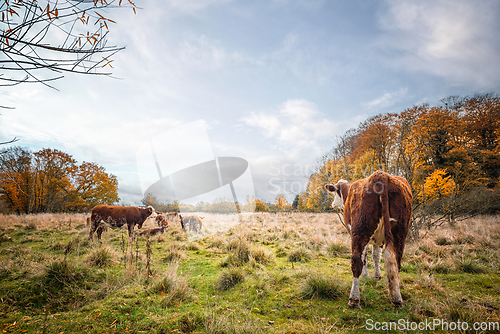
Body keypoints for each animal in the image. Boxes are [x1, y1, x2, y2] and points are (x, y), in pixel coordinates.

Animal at [326, 171, 412, 306]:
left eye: (335, 193)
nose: (333, 204)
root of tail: (380, 175)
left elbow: (365, 257)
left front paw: (366, 275)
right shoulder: (378, 240)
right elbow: (376, 256)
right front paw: (377, 275)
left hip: (360, 230)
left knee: (356, 261)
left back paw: (354, 299)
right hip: (401, 231)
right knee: (396, 261)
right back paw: (396, 298)